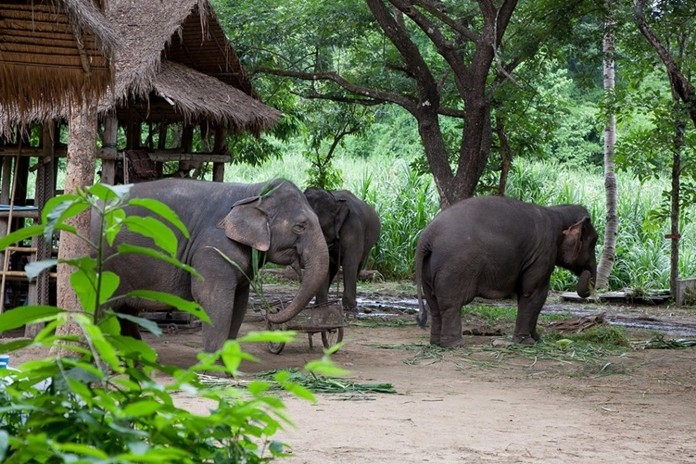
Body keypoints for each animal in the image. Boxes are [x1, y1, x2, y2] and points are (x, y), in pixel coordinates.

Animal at [98, 178, 329, 353]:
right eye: (300, 226)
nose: (270, 312)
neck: (254, 191)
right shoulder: (211, 249)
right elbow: (213, 300)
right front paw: (213, 370)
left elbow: (239, 304)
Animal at [415, 196, 598, 347]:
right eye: (593, 242)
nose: (586, 272)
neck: (556, 212)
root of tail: (426, 237)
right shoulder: (543, 253)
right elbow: (534, 293)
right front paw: (527, 342)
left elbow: (531, 296)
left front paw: (537, 340)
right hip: (455, 267)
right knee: (451, 304)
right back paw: (455, 345)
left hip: (428, 270)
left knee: (433, 303)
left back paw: (436, 343)